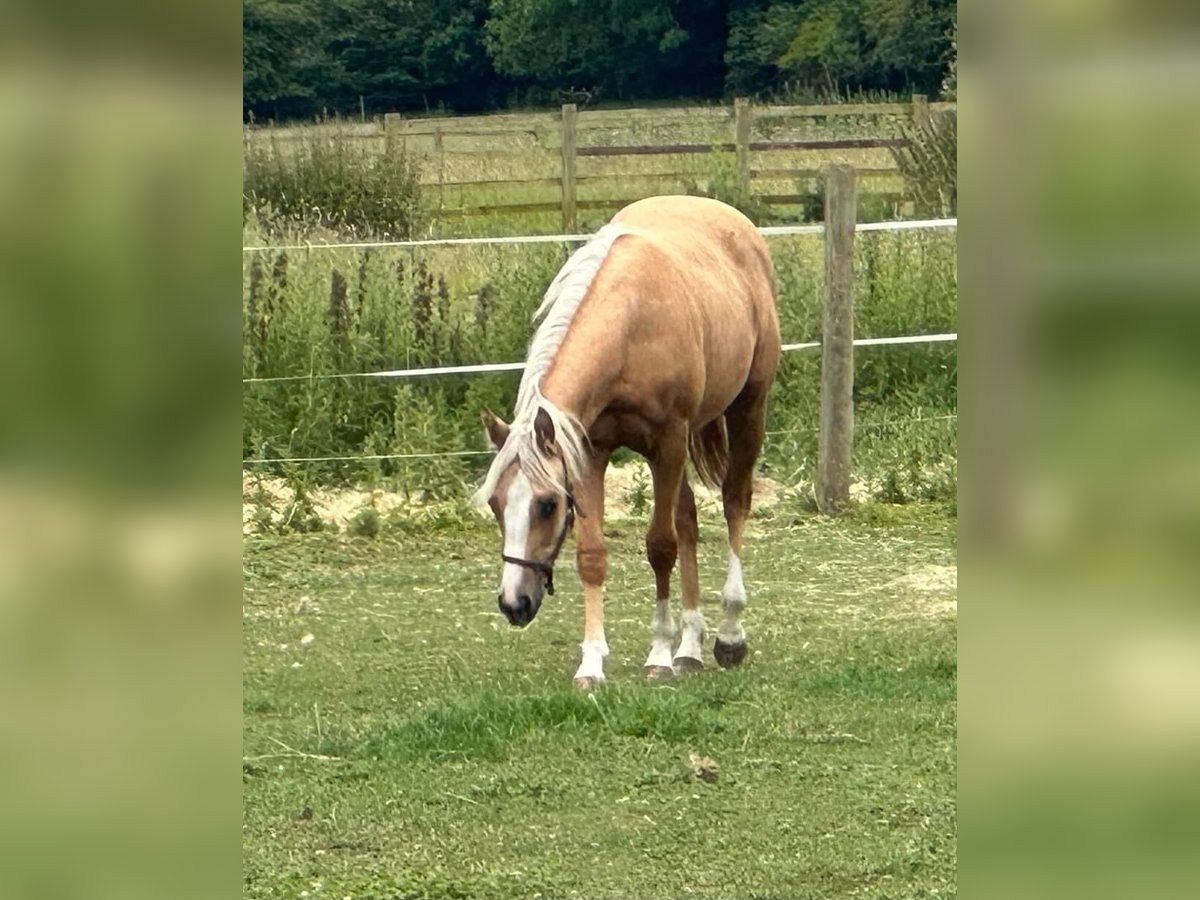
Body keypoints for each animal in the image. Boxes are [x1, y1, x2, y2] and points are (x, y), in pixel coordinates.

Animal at [472, 195, 782, 691]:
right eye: (496, 504)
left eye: (546, 505)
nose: (513, 604)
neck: (631, 325)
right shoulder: (589, 453)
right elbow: (593, 554)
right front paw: (592, 663)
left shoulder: (668, 442)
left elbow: (660, 546)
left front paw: (658, 654)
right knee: (689, 518)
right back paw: (690, 648)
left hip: (748, 408)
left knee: (735, 501)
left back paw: (728, 635)